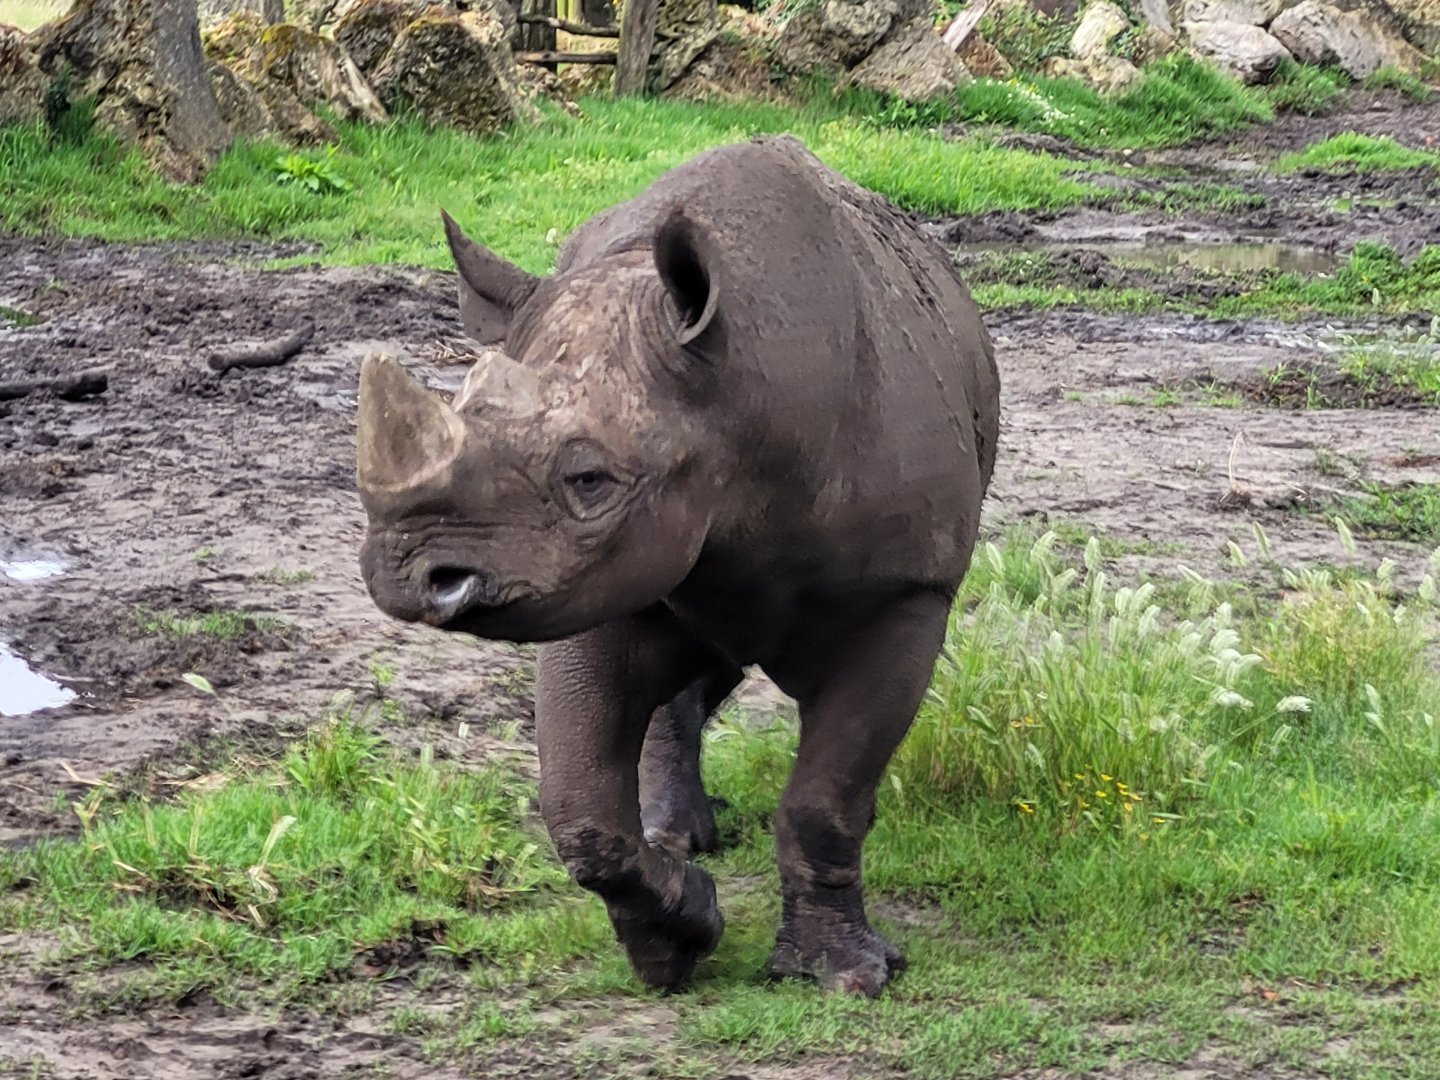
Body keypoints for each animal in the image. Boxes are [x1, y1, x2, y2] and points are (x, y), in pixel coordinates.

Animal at [356, 135, 1000, 996]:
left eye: (590, 480)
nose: (406, 575)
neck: (738, 398)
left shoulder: (905, 594)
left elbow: (825, 800)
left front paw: (844, 976)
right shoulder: (594, 576)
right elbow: (580, 810)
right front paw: (678, 940)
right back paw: (677, 839)